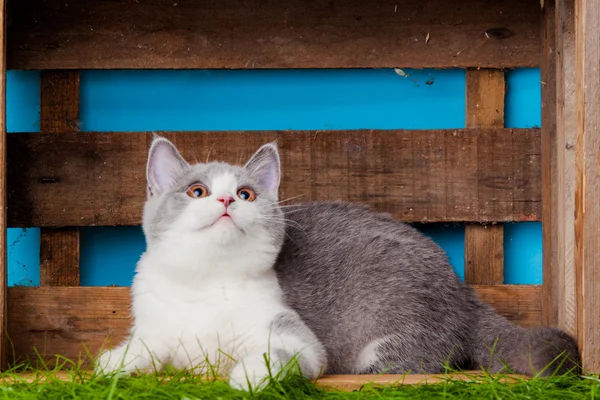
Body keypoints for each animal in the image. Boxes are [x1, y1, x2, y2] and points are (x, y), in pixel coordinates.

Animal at [97, 135, 580, 390]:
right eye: (196, 191)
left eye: (246, 194)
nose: (225, 200)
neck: (206, 286)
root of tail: (463, 291)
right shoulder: (154, 327)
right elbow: (137, 353)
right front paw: (113, 363)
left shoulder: (293, 334)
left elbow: (282, 354)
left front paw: (247, 376)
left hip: (391, 340)